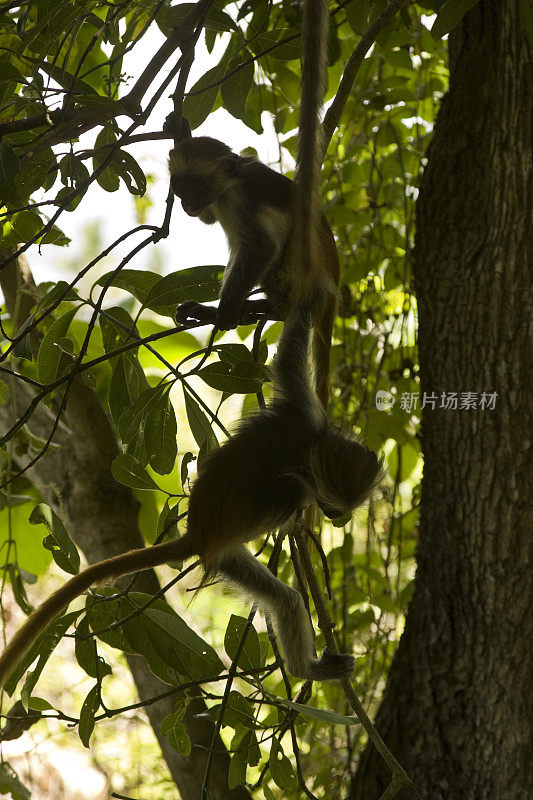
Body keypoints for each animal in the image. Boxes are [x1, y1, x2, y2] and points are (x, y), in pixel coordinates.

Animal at [0, 304, 382, 692]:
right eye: (332, 506)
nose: (334, 516)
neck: (306, 451)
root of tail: (197, 533)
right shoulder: (294, 480)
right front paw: (298, 529)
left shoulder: (303, 414)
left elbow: (290, 351)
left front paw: (302, 303)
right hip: (225, 556)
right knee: (287, 601)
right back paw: (306, 669)